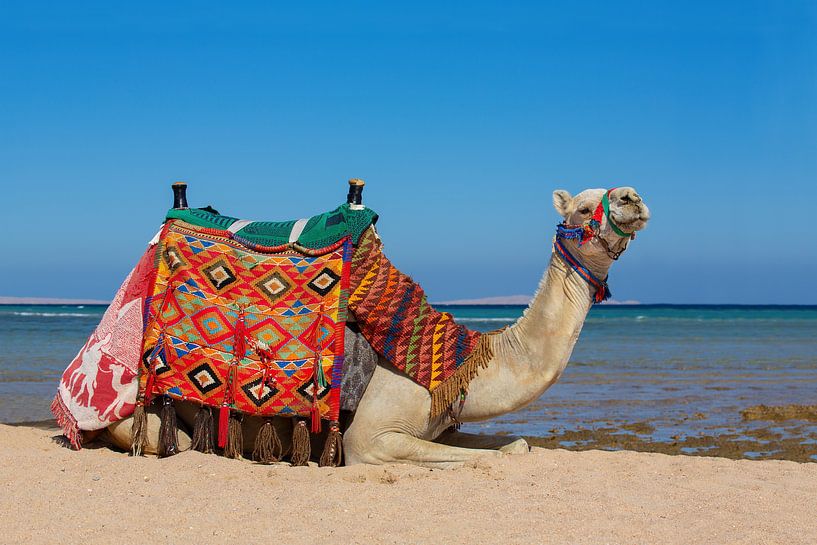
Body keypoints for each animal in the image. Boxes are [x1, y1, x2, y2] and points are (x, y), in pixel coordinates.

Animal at [106, 186, 650, 468]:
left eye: (614, 193)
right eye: (584, 206)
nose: (631, 197)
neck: (463, 362)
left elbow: (512, 447)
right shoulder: (370, 438)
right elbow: (483, 459)